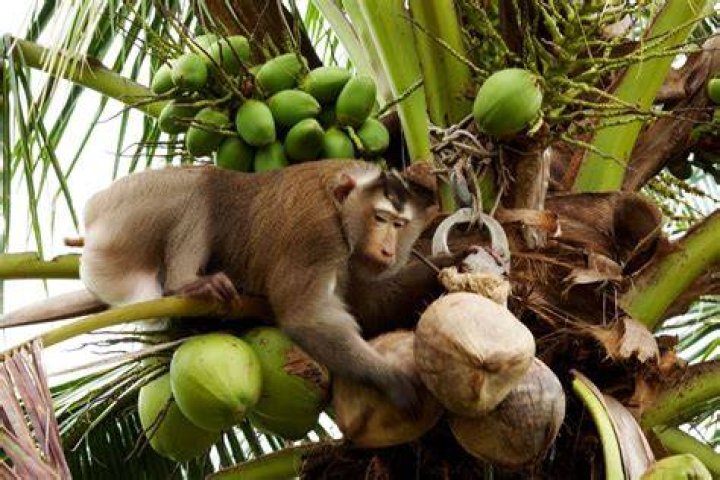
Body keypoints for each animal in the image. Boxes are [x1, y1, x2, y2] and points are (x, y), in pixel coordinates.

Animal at [3, 159, 458, 411]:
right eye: (380, 218)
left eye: (398, 224)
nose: (387, 248)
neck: (341, 205)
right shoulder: (318, 235)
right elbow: (307, 318)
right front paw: (390, 378)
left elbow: (369, 305)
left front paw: (449, 260)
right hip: (118, 218)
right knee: (204, 185)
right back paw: (185, 285)